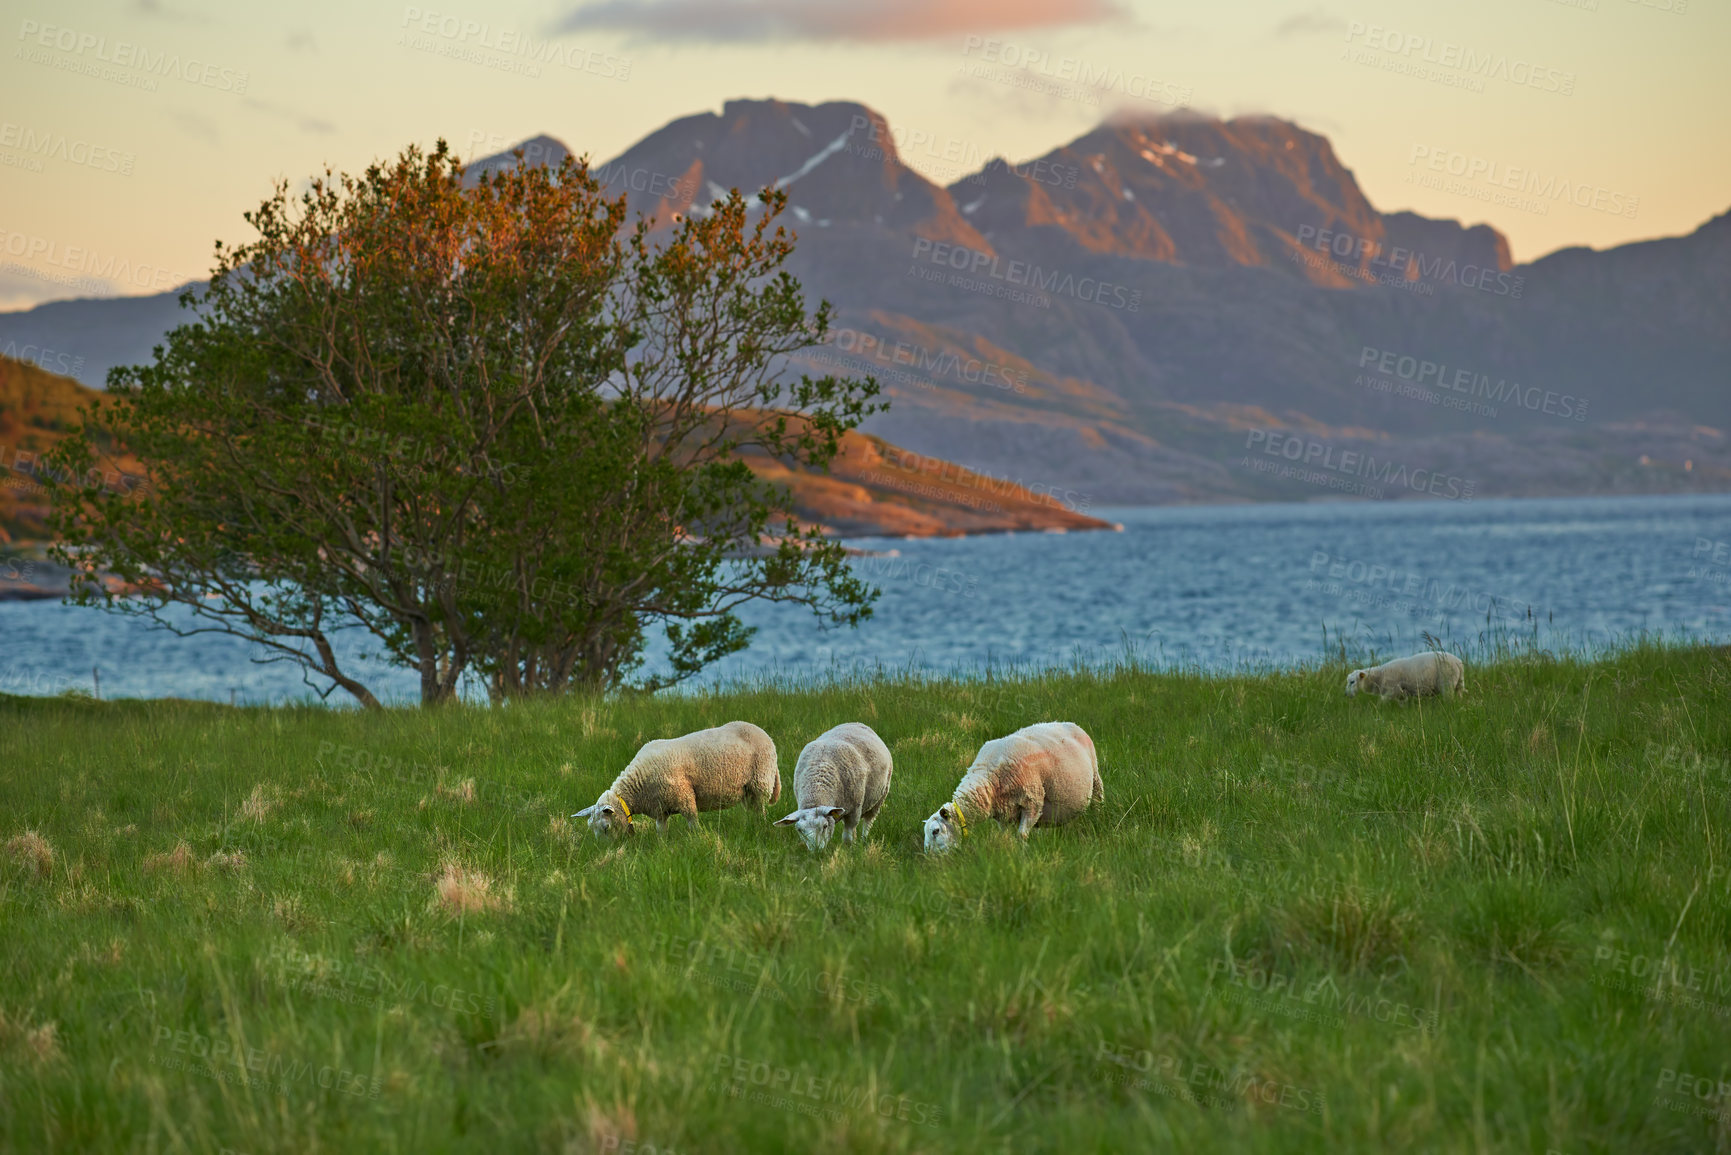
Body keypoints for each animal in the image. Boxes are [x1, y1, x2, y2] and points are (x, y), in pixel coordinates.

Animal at [571, 723, 782, 841]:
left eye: (606, 828)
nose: (608, 851)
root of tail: (763, 733)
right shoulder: (660, 808)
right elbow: (661, 830)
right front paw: (662, 847)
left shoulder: (684, 796)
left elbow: (692, 821)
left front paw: (698, 839)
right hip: (747, 790)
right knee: (752, 810)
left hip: (761, 780)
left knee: (761, 810)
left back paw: (760, 828)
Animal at [927, 716, 1100, 855]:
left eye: (935, 831)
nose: (930, 858)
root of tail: (1070, 723)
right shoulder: (1002, 816)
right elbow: (1006, 835)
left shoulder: (1033, 802)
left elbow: (1021, 835)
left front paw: (1023, 853)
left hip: (1096, 776)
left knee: (1098, 801)